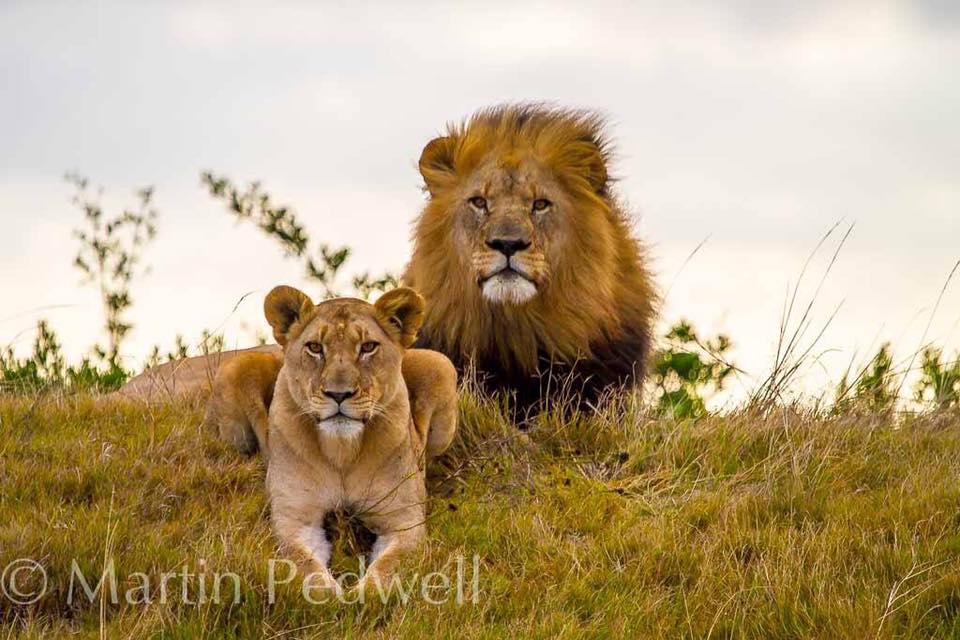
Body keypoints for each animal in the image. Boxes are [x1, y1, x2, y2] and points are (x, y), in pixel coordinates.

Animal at [262, 284, 458, 596]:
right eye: (315, 347)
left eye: (368, 347)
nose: (338, 394)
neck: (341, 451)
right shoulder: (294, 518)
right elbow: (304, 564)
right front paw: (329, 595)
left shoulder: (403, 520)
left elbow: (389, 566)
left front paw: (364, 595)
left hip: (440, 365)